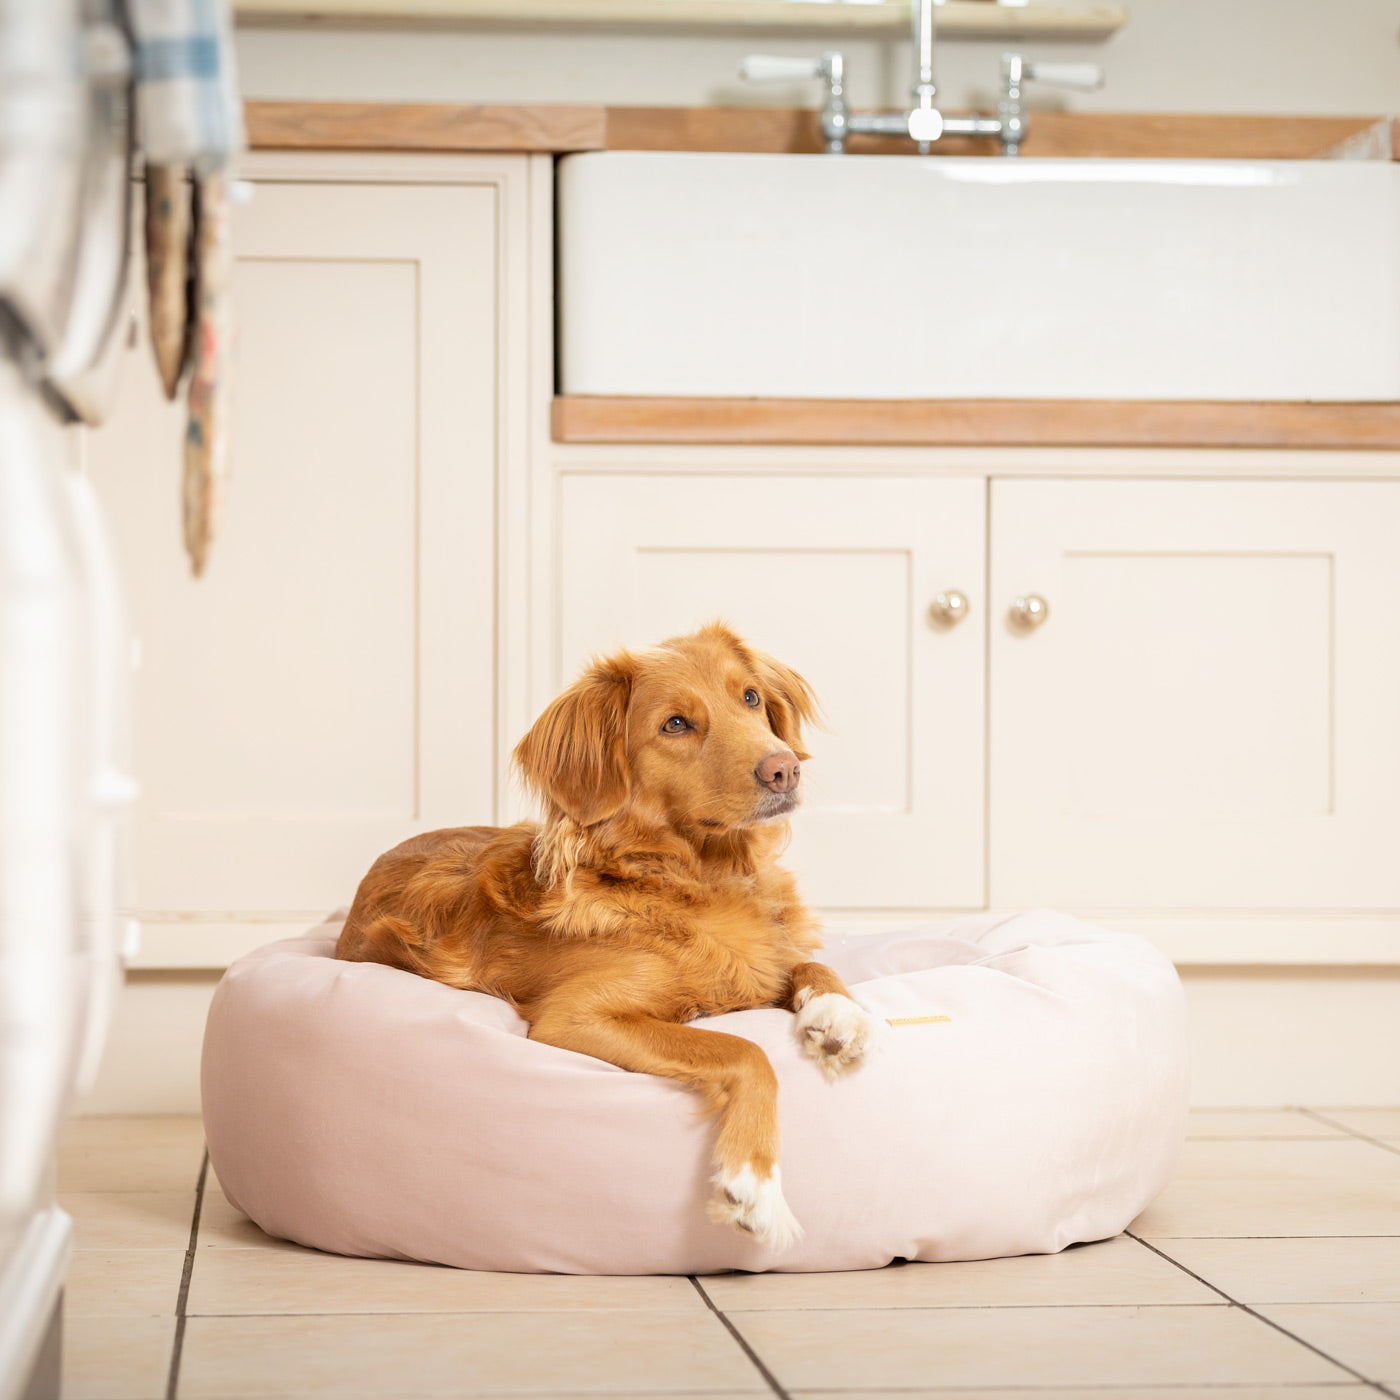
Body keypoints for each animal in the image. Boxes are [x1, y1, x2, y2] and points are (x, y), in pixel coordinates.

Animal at [336, 624, 873, 1248]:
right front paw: (754, 1184)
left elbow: (807, 963)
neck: (698, 879)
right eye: (675, 724)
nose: (784, 768)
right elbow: (744, 1049)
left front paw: (838, 1013)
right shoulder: (573, 1017)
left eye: (750, 698)